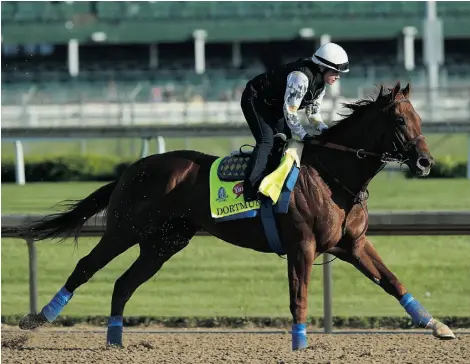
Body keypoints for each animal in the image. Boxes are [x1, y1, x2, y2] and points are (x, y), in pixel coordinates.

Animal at [14, 82, 456, 350]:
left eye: (419, 118)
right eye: (399, 119)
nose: (425, 162)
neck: (332, 174)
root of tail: (131, 169)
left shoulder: (352, 244)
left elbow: (392, 281)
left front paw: (437, 326)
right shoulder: (302, 245)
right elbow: (299, 296)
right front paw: (300, 344)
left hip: (163, 242)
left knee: (123, 284)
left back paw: (115, 341)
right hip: (126, 229)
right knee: (87, 266)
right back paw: (39, 319)